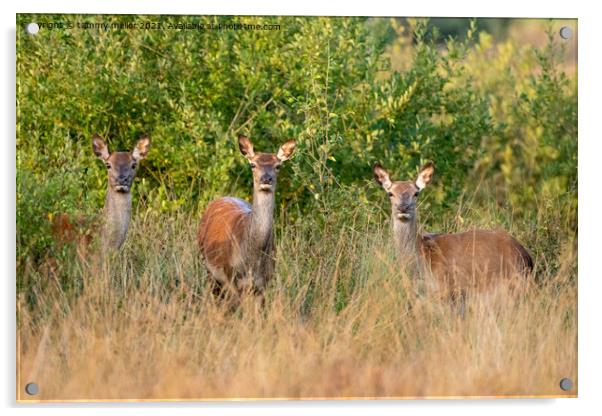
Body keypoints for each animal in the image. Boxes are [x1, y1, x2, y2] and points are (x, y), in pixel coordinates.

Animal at [197, 135, 296, 304]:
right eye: (252, 164)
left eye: (278, 166)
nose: (266, 179)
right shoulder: (232, 278)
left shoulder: (264, 283)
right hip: (207, 264)